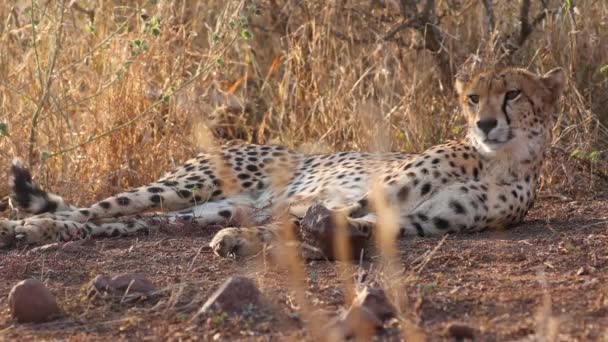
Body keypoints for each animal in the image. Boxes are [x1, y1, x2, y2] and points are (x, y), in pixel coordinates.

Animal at [0, 66, 564, 256]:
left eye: (513, 94)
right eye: (472, 98)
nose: (485, 124)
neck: (498, 160)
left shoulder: (418, 221)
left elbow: (328, 225)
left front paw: (245, 241)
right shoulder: (379, 191)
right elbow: (316, 217)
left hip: (202, 208)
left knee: (123, 224)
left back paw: (45, 233)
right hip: (188, 185)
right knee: (95, 208)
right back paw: (21, 229)